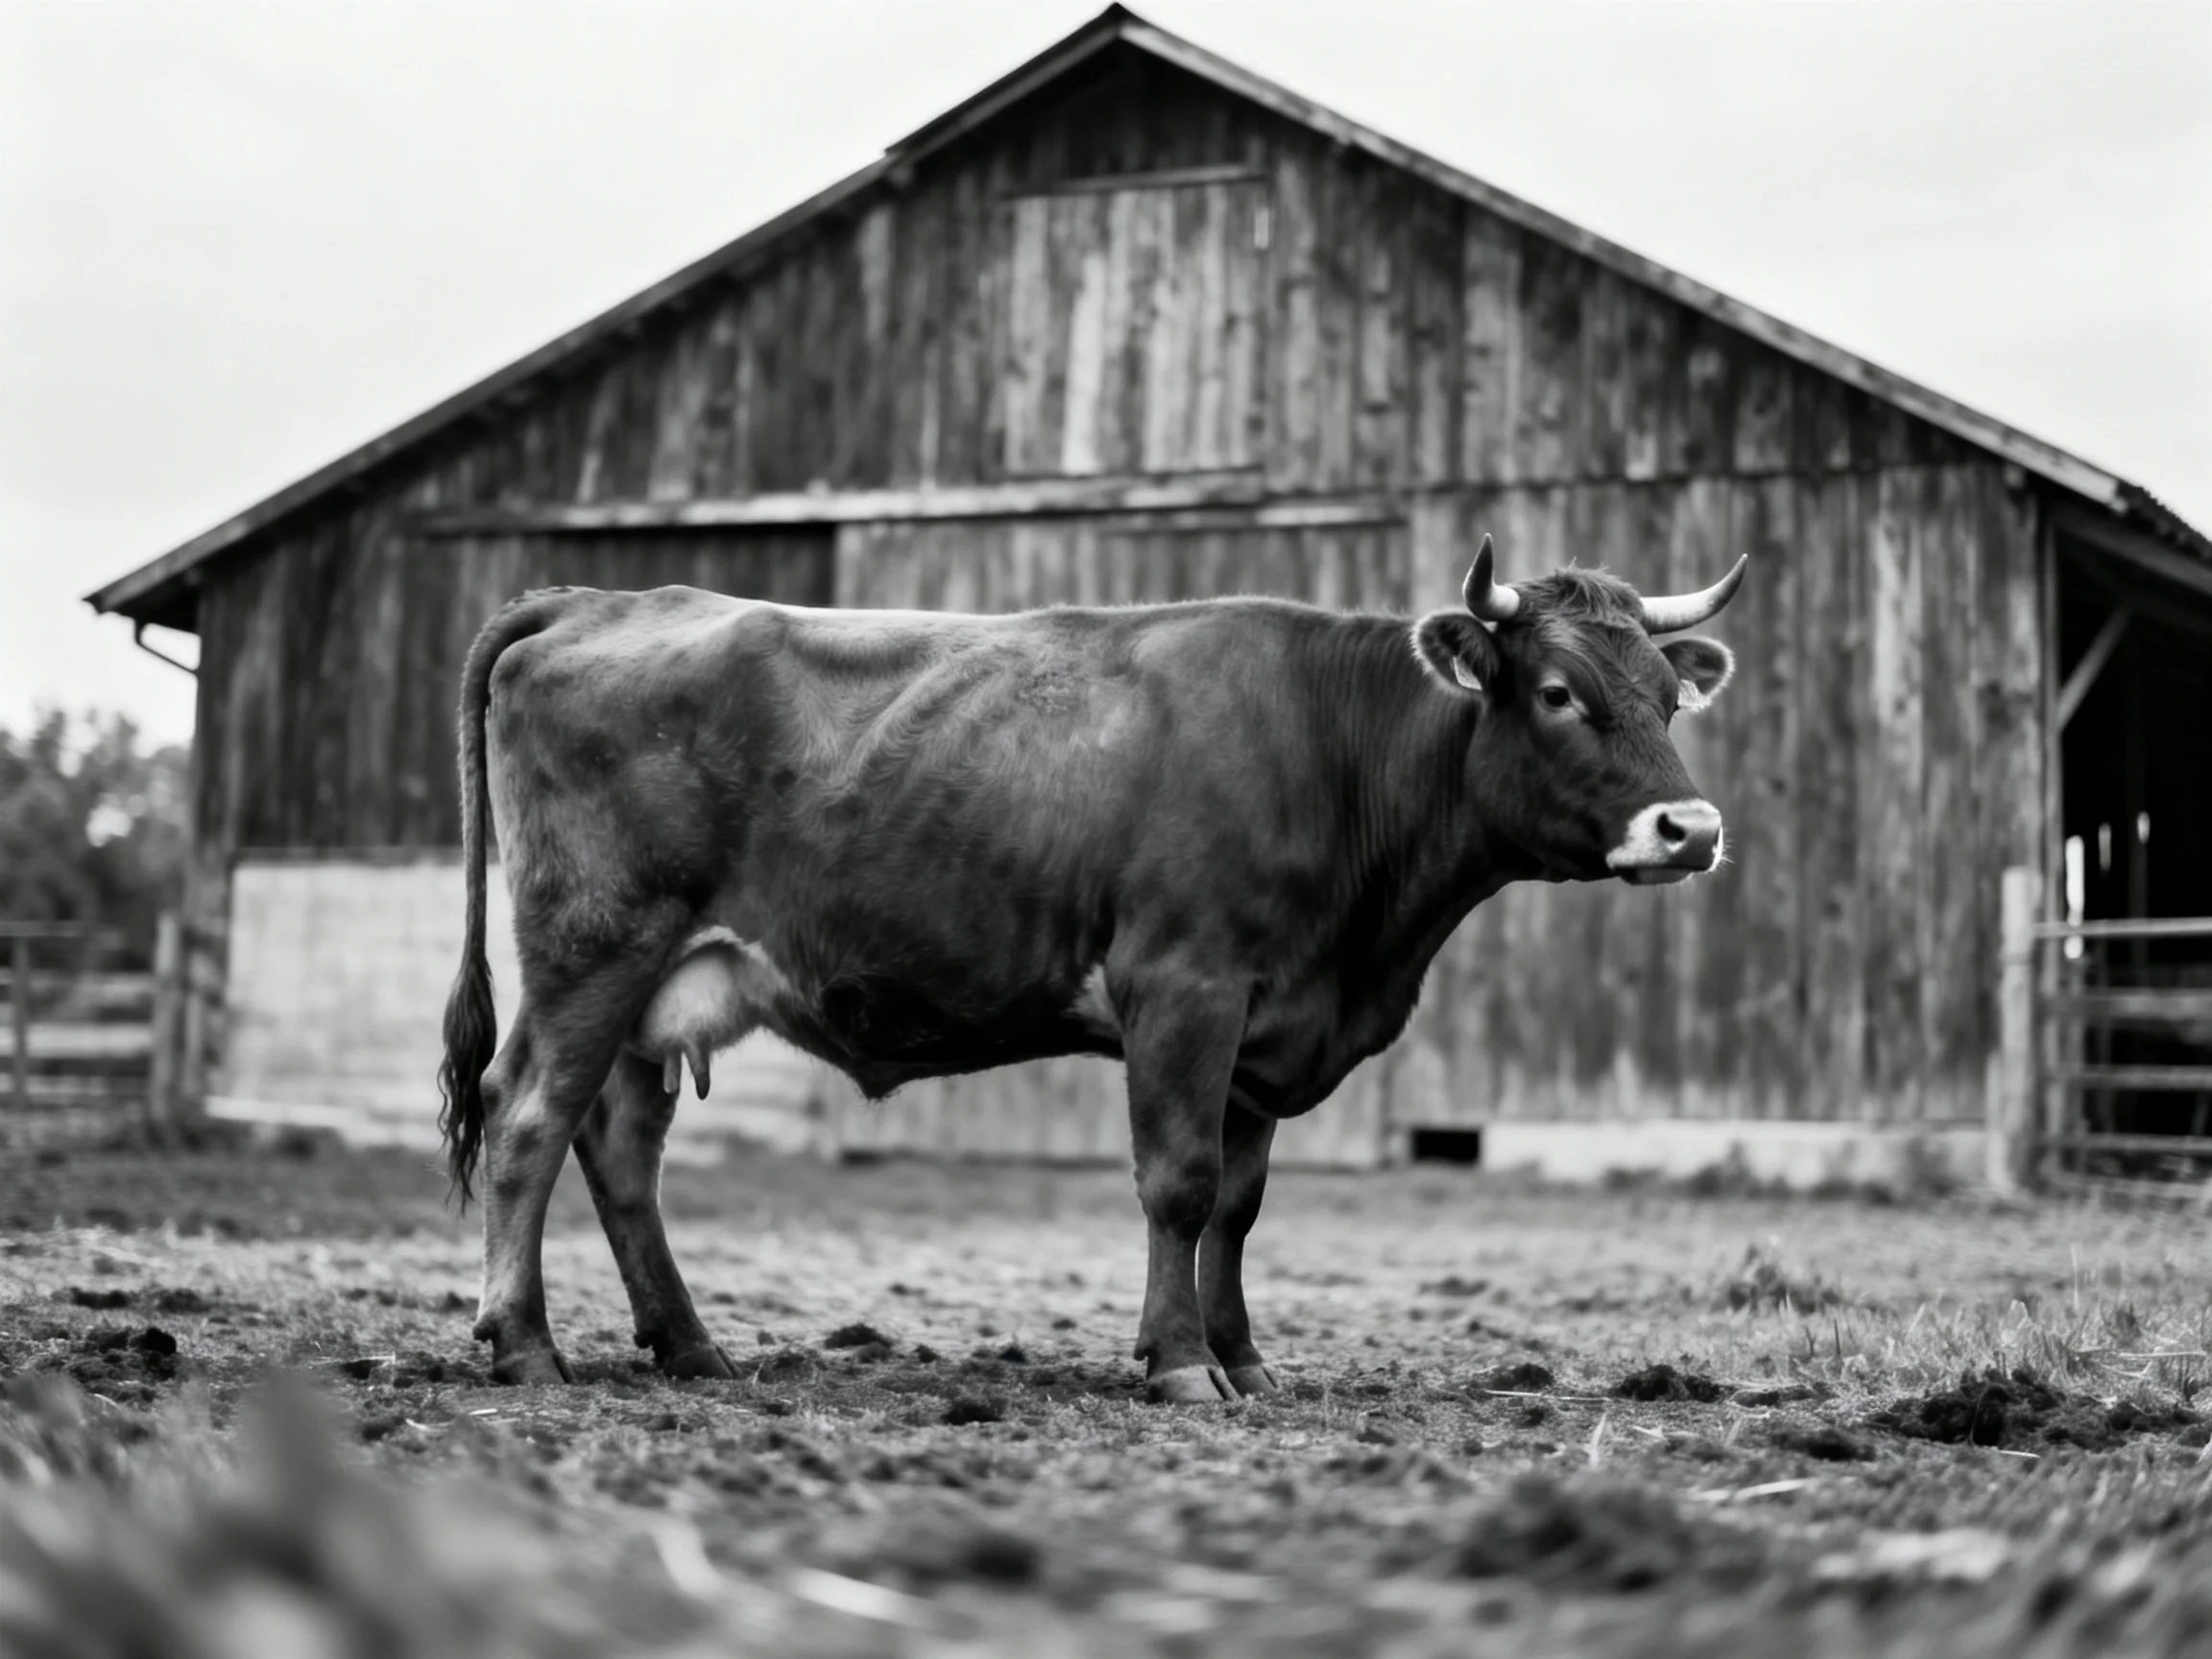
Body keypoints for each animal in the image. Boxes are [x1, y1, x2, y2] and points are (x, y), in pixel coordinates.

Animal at [438, 537, 1743, 1401]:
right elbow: (1178, 1183)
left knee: (618, 1148)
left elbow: (1238, 1202)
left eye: (1669, 694)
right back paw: (528, 1348)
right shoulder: (1184, 985)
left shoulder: (1264, 1024)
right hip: (595, 946)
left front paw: (1243, 1358)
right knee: (528, 1119)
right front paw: (1179, 1366)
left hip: (658, 986)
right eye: (1561, 693)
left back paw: (692, 1347)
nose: (1692, 828)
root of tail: (593, 601)